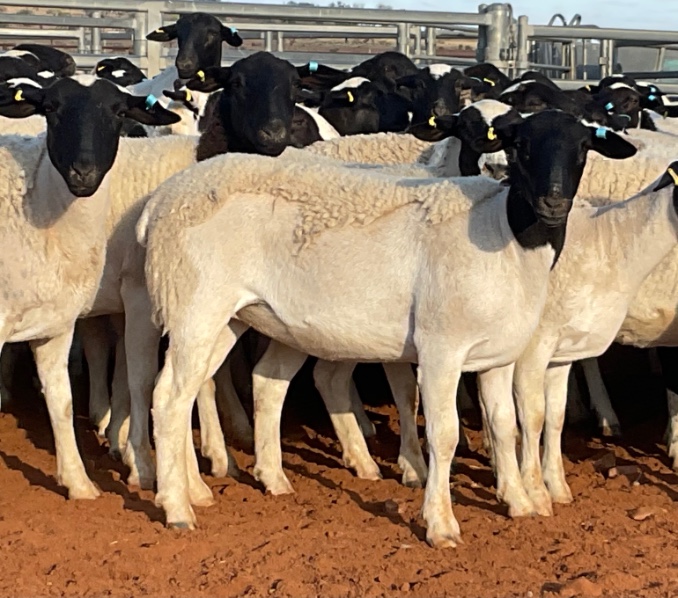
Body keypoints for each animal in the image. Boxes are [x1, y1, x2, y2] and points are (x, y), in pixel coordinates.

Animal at [0, 74, 179, 498]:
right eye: (51, 107)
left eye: (118, 111)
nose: (83, 172)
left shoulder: (57, 324)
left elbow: (62, 401)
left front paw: (78, 483)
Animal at [138, 109, 635, 545]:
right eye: (520, 146)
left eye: (583, 147)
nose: (553, 201)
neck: (508, 235)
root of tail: (161, 200)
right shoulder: (441, 349)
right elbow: (445, 436)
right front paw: (440, 524)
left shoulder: (498, 355)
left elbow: (503, 425)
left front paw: (518, 501)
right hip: (195, 304)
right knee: (169, 397)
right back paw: (177, 507)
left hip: (232, 316)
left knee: (210, 391)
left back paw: (230, 485)